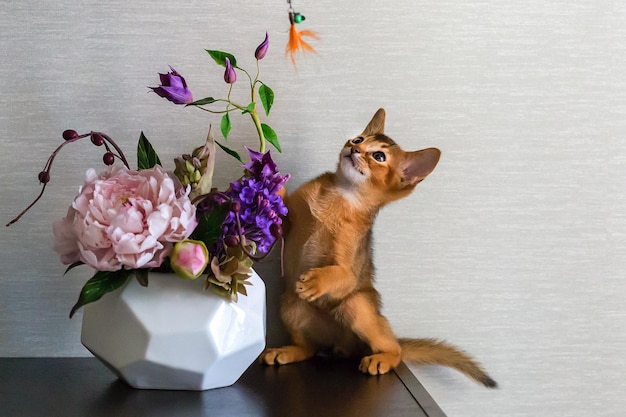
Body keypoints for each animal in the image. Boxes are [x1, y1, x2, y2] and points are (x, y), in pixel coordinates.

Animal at [260, 108, 494, 386]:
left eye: (379, 156)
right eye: (359, 139)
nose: (353, 147)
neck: (342, 194)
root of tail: (340, 346)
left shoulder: (349, 269)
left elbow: (339, 274)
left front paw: (317, 282)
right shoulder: (290, 225)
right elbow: (281, 211)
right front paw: (271, 184)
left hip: (356, 305)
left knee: (396, 349)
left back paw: (381, 359)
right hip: (291, 305)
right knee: (309, 348)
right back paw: (287, 351)